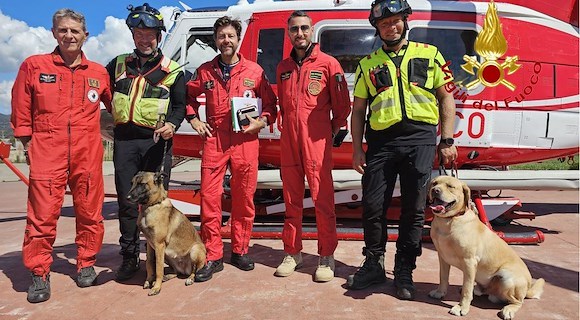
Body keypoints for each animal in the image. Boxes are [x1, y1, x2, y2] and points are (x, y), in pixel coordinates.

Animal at [426, 176, 544, 318]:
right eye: (434, 183)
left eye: (450, 186)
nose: (435, 190)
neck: (450, 220)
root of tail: (527, 288)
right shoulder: (442, 257)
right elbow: (443, 278)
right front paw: (440, 292)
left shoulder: (469, 261)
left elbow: (466, 290)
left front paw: (462, 307)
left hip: (507, 279)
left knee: (518, 302)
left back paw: (508, 310)